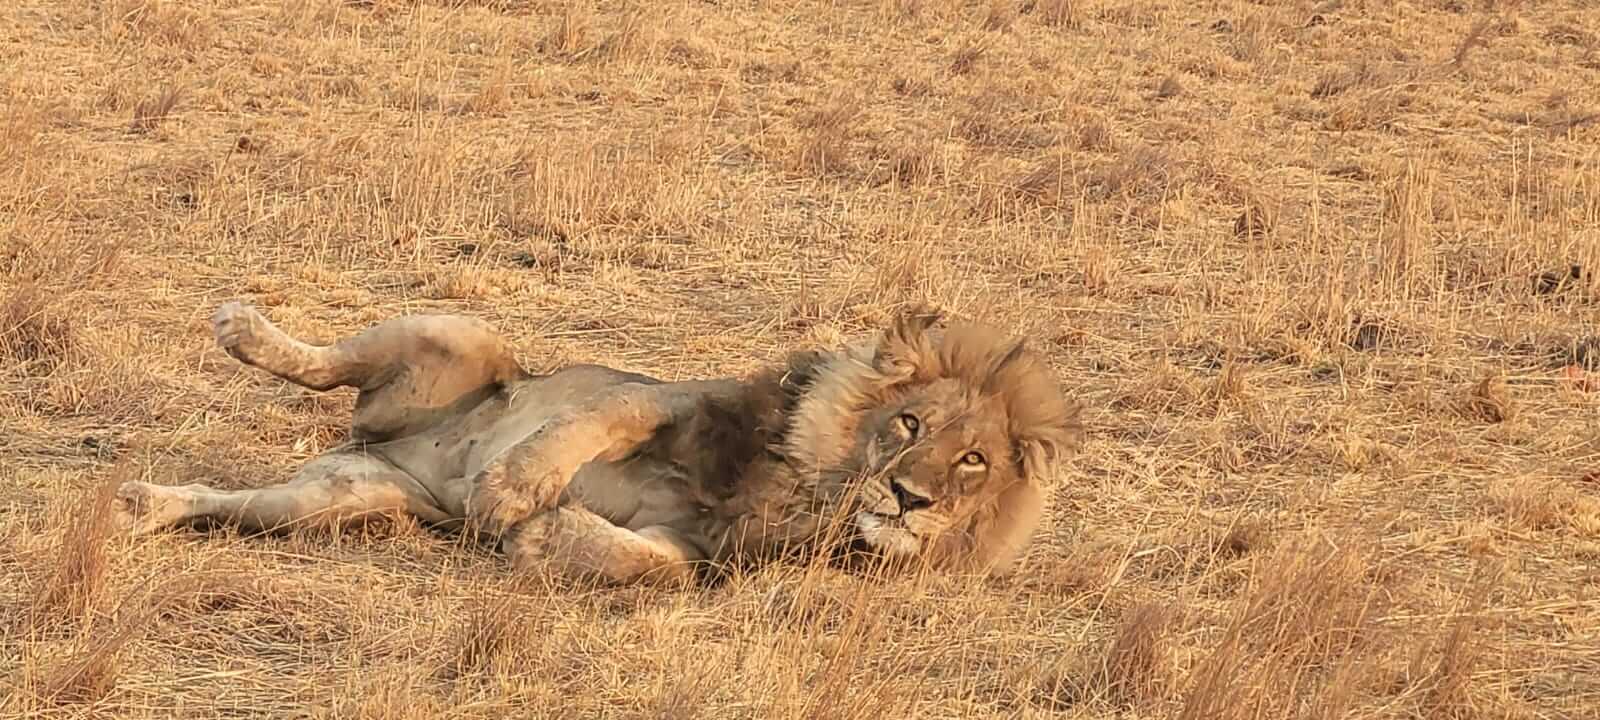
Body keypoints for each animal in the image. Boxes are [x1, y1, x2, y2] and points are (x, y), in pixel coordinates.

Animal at [113, 301, 1084, 585]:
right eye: (910, 425)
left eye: (973, 462)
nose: (911, 499)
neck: (814, 494)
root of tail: (396, 448)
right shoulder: (676, 399)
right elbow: (597, 422)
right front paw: (513, 490)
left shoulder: (706, 551)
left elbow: (651, 566)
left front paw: (540, 536)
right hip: (462, 337)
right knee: (321, 362)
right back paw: (245, 328)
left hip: (334, 499)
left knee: (225, 503)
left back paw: (141, 504)